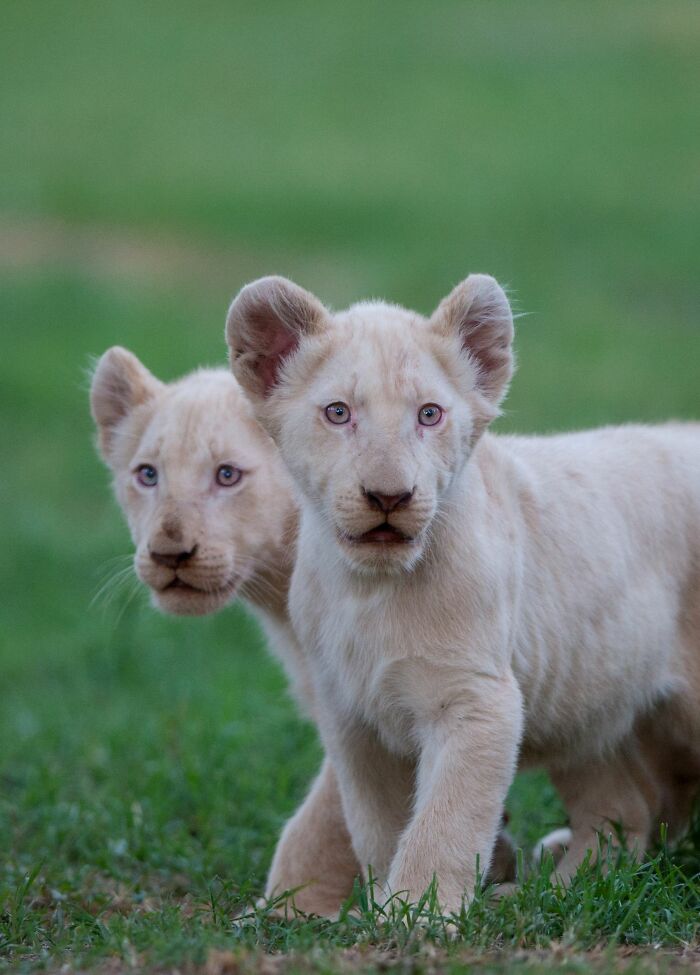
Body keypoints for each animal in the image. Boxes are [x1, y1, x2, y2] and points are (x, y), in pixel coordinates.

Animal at [226, 273, 700, 912]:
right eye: (337, 413)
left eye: (430, 414)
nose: (389, 496)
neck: (370, 588)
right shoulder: (353, 716)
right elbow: (377, 824)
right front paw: (382, 905)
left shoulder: (478, 700)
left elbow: (444, 820)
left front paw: (415, 915)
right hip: (587, 707)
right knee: (627, 807)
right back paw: (552, 889)